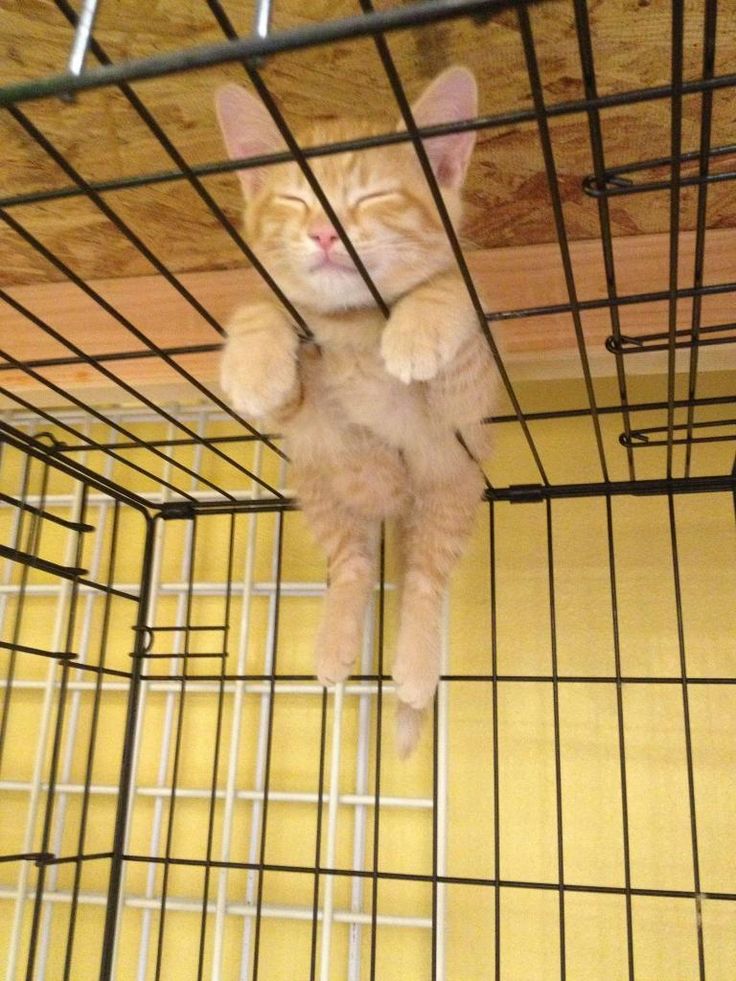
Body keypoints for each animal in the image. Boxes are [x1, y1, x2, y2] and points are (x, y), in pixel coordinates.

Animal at [216, 69, 498, 756]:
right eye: (293, 201)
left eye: (373, 197)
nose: (324, 232)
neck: (352, 325)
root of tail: (390, 504)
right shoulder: (300, 408)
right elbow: (265, 309)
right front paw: (253, 360)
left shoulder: (466, 401)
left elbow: (452, 288)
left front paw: (420, 324)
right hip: (323, 487)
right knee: (353, 567)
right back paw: (335, 647)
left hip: (450, 488)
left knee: (424, 579)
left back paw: (416, 674)